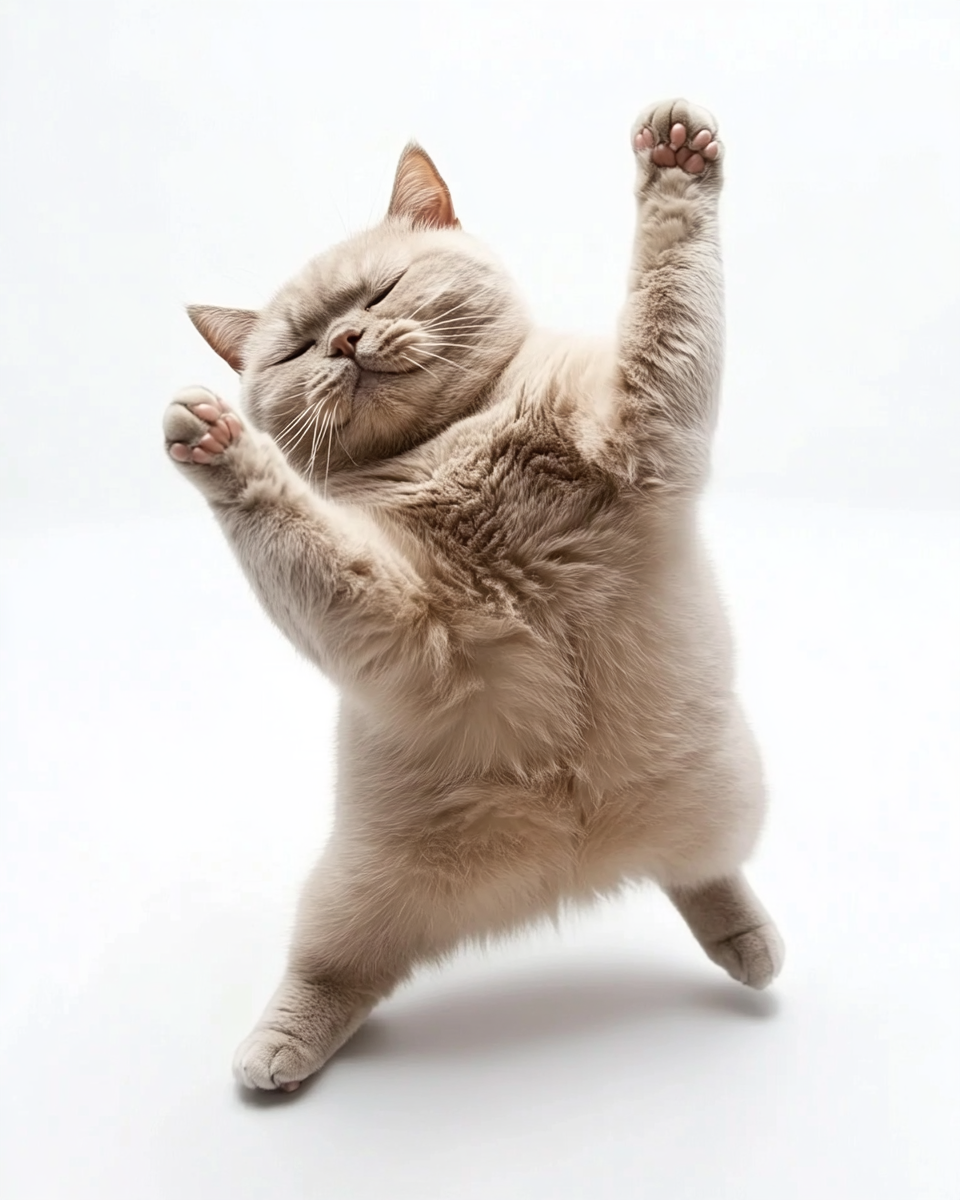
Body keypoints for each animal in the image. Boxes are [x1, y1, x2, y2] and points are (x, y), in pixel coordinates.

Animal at [163, 98, 777, 1094]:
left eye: (380, 293)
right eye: (297, 347)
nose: (344, 341)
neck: (459, 440)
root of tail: (573, 867)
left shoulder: (648, 417)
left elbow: (668, 290)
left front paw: (676, 164)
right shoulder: (399, 617)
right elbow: (290, 524)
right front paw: (218, 448)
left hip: (728, 798)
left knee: (704, 878)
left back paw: (752, 949)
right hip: (351, 894)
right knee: (330, 974)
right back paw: (275, 1055)